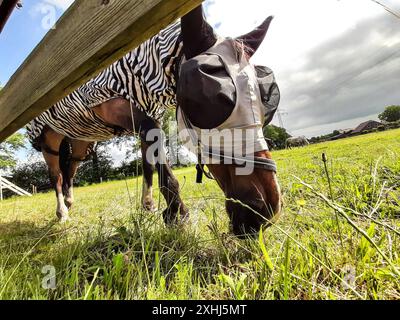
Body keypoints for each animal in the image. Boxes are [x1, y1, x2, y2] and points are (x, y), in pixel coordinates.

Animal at [28, 4, 282, 235]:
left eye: (266, 101)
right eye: (208, 97)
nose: (264, 209)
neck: (139, 69)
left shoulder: (149, 118)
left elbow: (148, 162)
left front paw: (149, 205)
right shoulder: (125, 112)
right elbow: (159, 162)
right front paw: (177, 214)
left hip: (82, 140)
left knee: (70, 168)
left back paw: (69, 201)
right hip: (49, 142)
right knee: (56, 175)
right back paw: (62, 212)